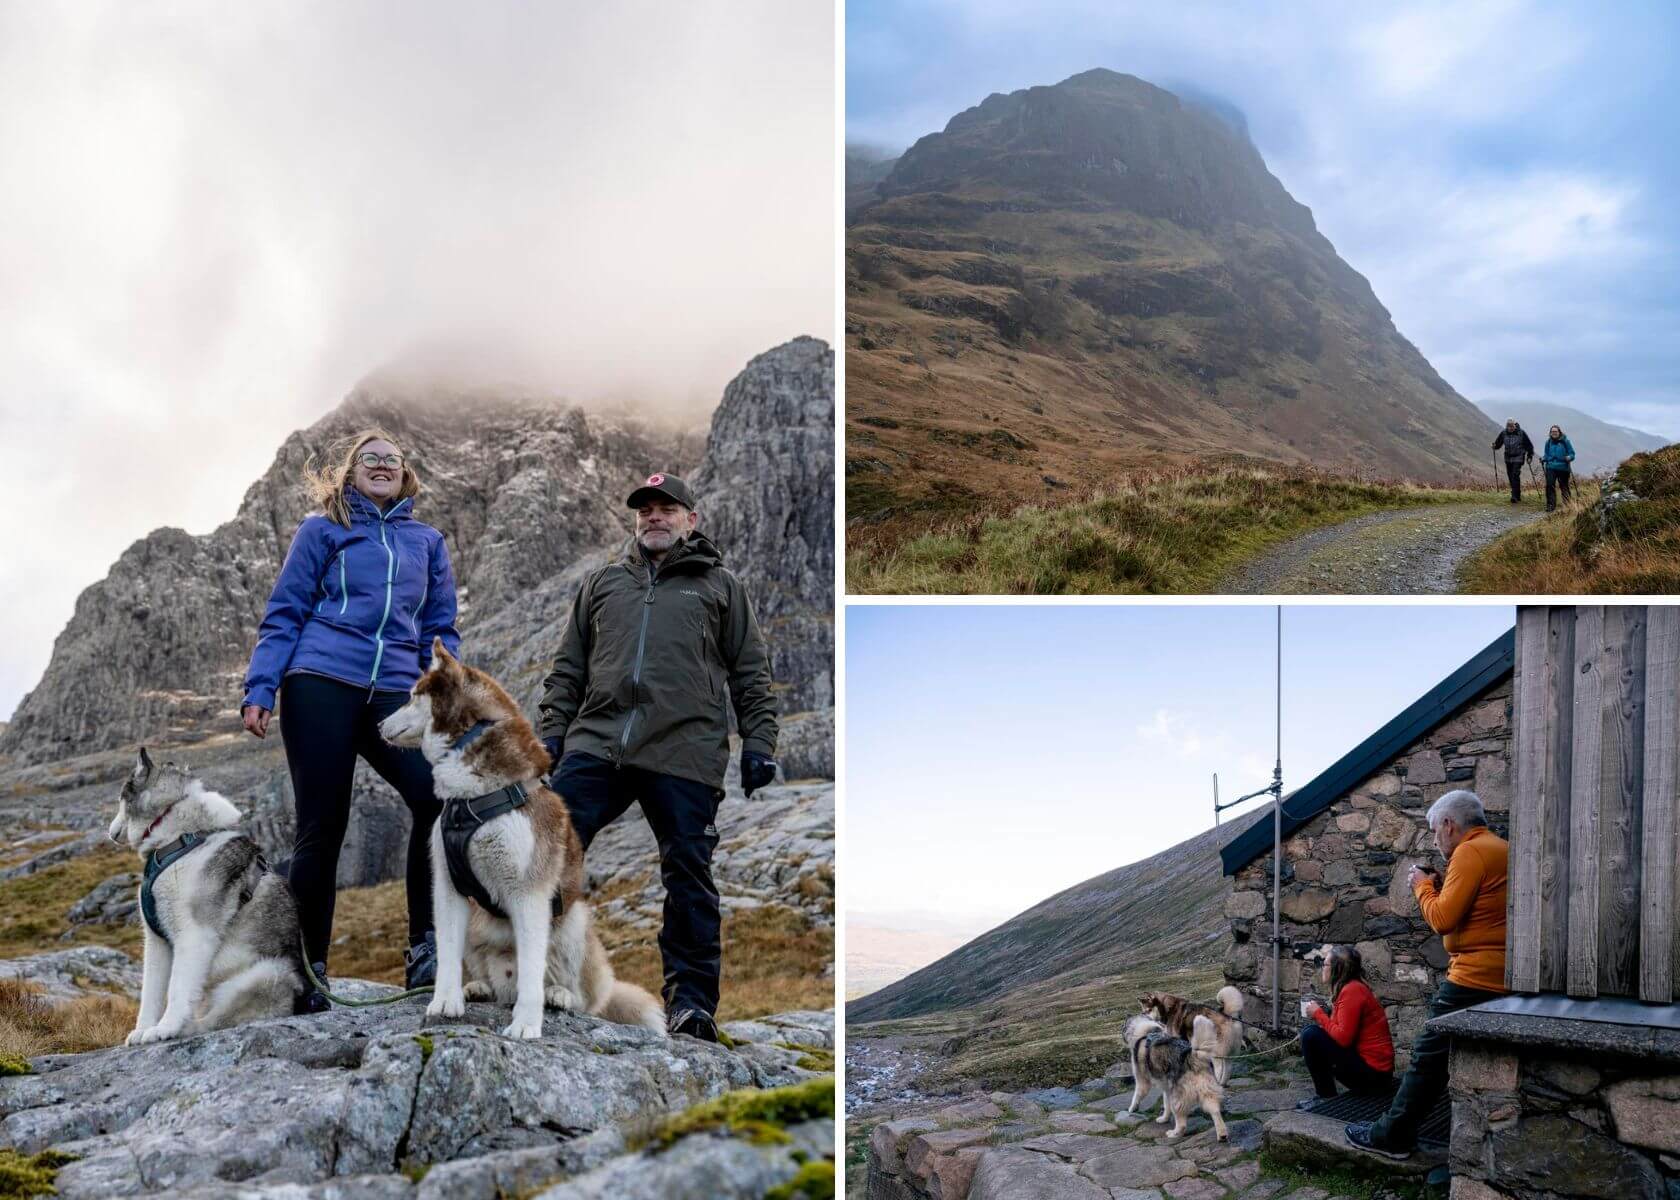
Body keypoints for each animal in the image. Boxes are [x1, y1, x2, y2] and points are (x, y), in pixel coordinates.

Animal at [110, 746, 307, 1035]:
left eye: (121, 800)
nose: (110, 833)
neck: (178, 838)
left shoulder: (194, 933)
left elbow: (177, 988)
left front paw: (166, 1028)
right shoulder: (156, 940)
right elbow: (151, 991)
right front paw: (143, 1030)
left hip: (266, 973)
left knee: (216, 1020)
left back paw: (187, 1027)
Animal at [381, 635, 661, 1035]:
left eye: (410, 696)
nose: (378, 724)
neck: (471, 799)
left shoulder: (529, 892)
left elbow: (531, 970)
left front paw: (527, 1024)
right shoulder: (448, 886)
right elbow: (447, 954)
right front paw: (445, 1002)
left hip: (574, 921)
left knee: (582, 996)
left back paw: (560, 996)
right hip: (479, 928)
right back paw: (478, 987)